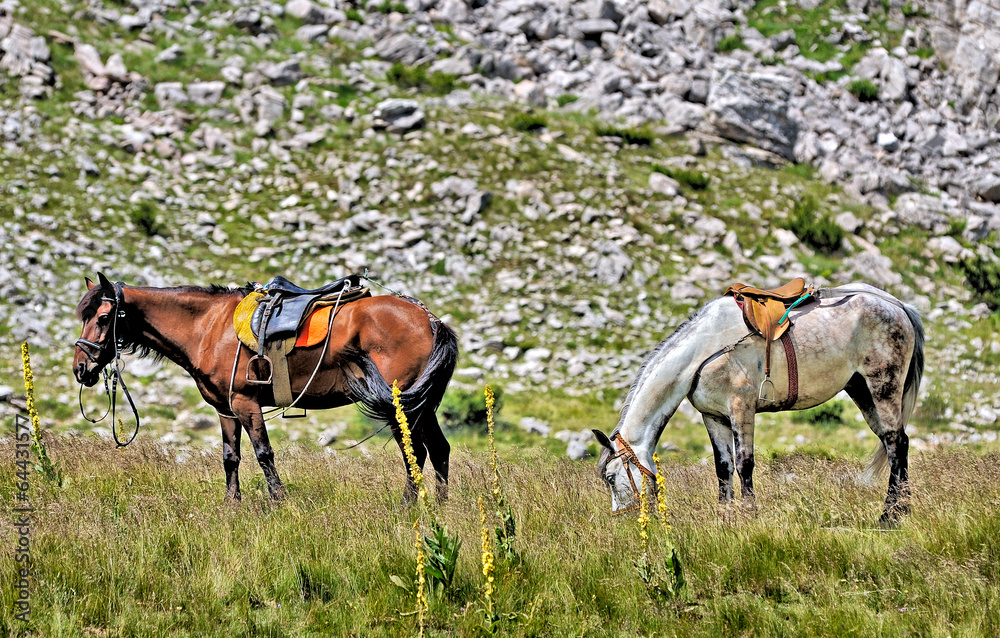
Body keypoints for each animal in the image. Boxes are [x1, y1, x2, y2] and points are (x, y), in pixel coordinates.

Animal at [73, 272, 458, 503]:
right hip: (423, 405)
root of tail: (429, 319)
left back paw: (409, 505)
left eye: (103, 318)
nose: (81, 368)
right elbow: (230, 457)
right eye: (84, 316)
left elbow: (264, 454)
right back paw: (439, 506)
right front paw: (232, 505)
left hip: (401, 406)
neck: (208, 327)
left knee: (415, 452)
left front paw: (281, 502)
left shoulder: (246, 403)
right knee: (438, 449)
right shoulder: (225, 409)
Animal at [593, 283, 924, 527]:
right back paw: (902, 509)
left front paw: (749, 514)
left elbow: (744, 464)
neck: (705, 349)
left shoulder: (741, 409)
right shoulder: (713, 417)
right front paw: (725, 517)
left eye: (611, 477)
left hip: (883, 387)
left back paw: (890, 516)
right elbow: (723, 468)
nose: (620, 516)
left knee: (896, 442)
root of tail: (898, 306)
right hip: (861, 391)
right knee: (895, 442)